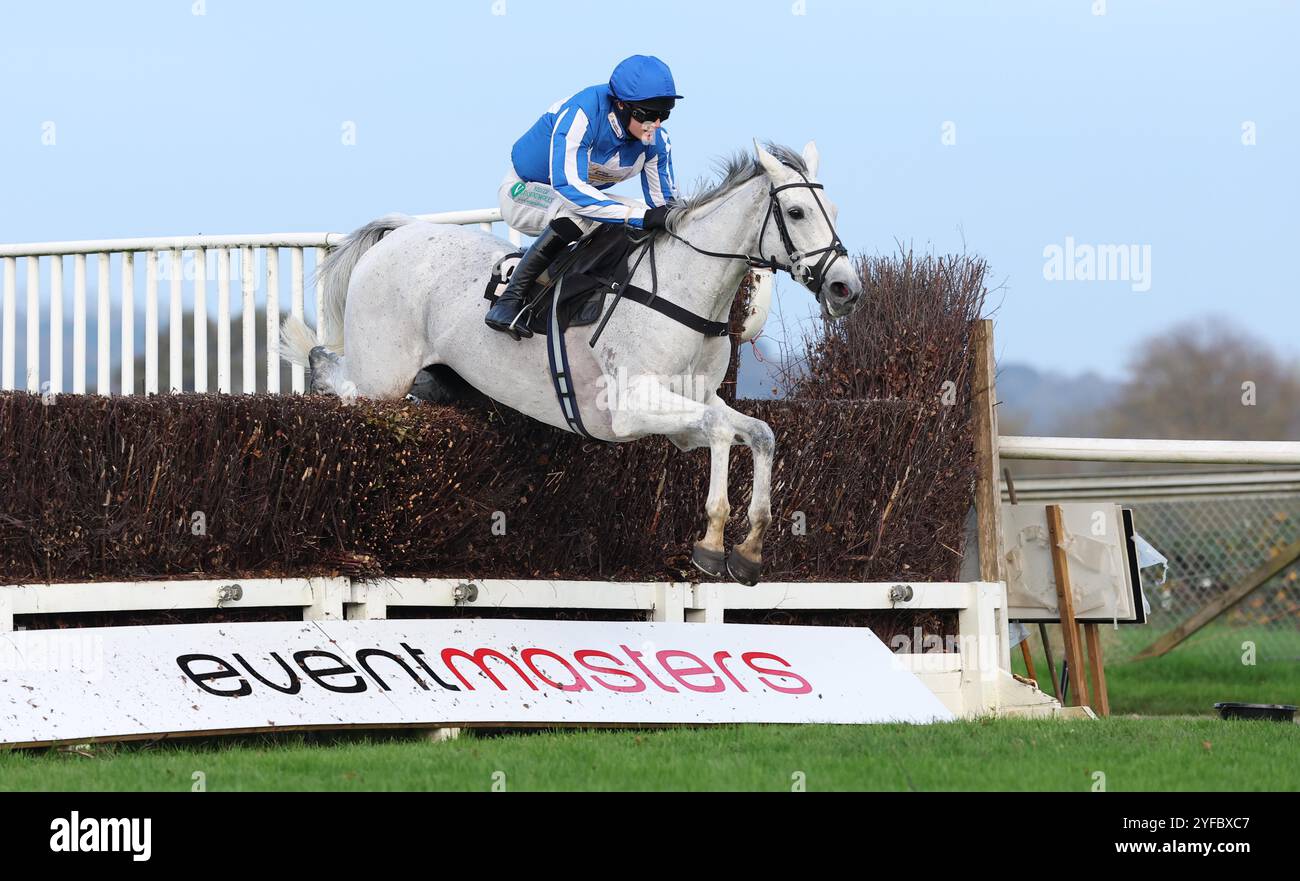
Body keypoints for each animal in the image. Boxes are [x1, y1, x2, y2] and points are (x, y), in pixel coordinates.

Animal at [282, 139, 863, 587]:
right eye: (796, 213)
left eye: (835, 212)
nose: (845, 288)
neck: (683, 294)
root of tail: (403, 231)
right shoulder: (628, 408)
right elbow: (723, 432)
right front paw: (711, 544)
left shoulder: (687, 411)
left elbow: (758, 432)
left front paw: (748, 553)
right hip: (383, 373)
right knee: (338, 377)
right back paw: (308, 356)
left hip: (433, 377)